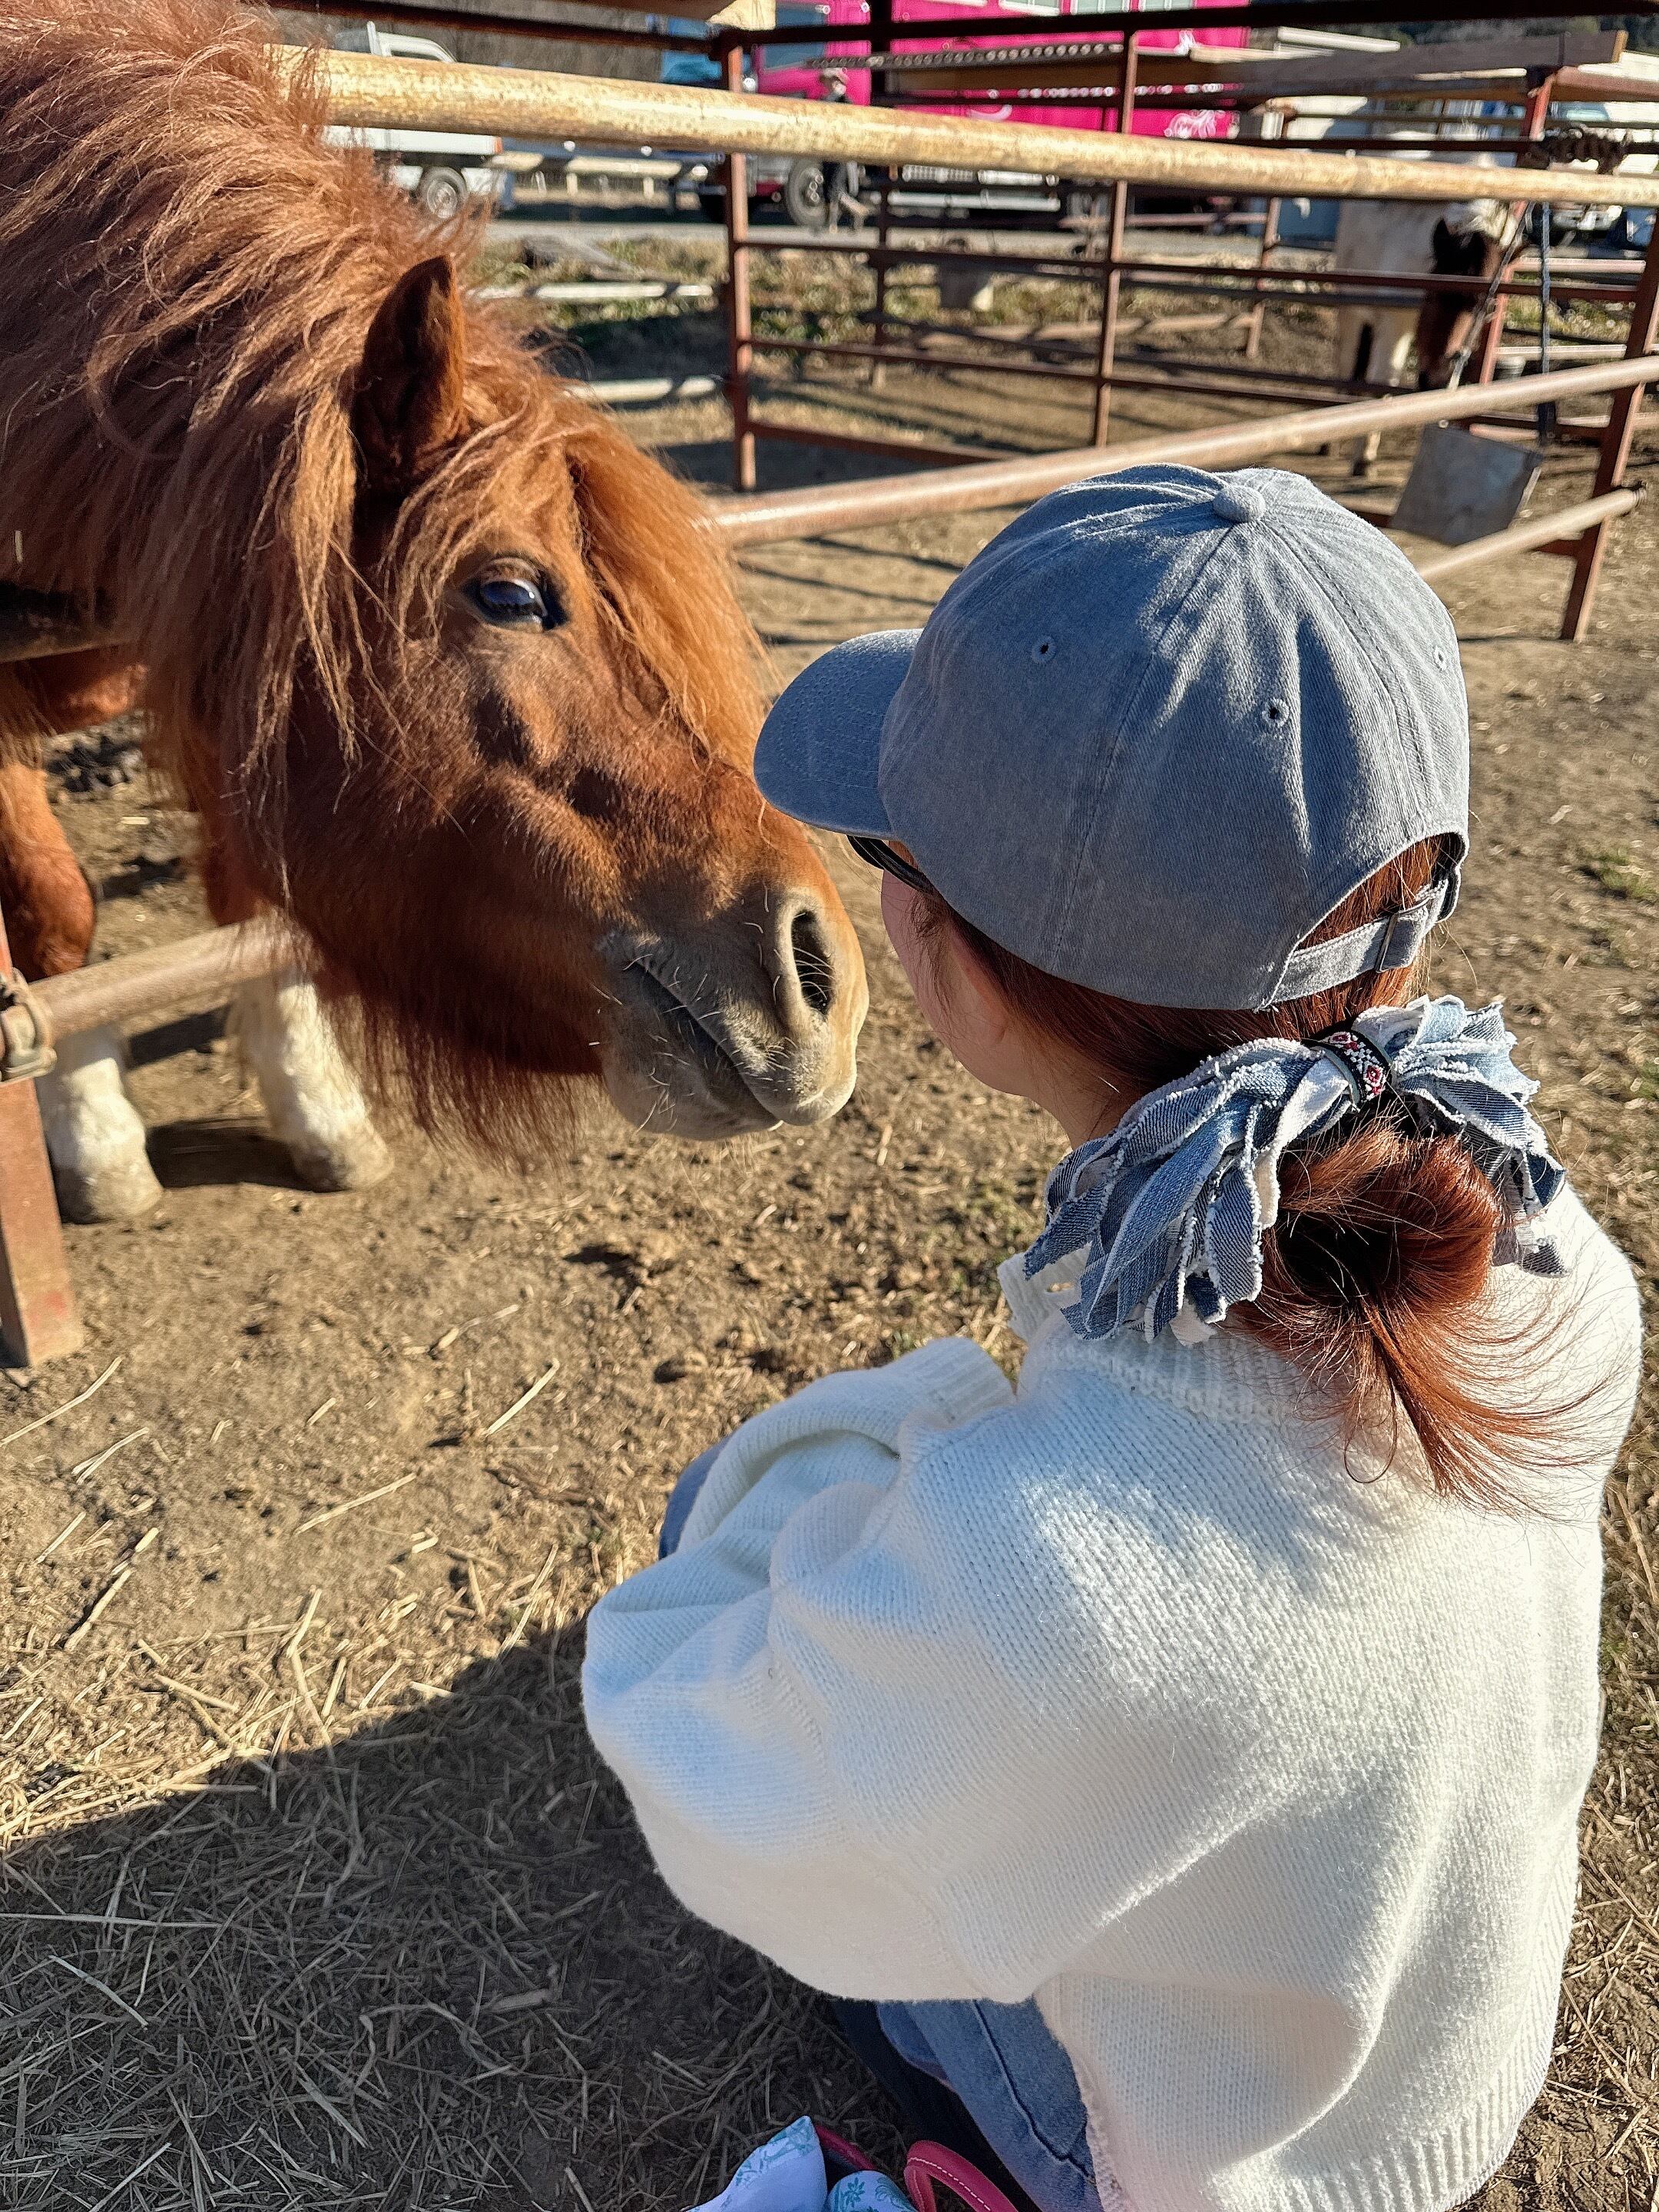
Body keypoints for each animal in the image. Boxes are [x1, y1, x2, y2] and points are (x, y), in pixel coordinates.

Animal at [0, 0, 867, 1223]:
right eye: (508, 593)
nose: (821, 980)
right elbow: (57, 915)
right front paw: (97, 1143)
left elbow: (245, 904)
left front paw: (316, 1107)